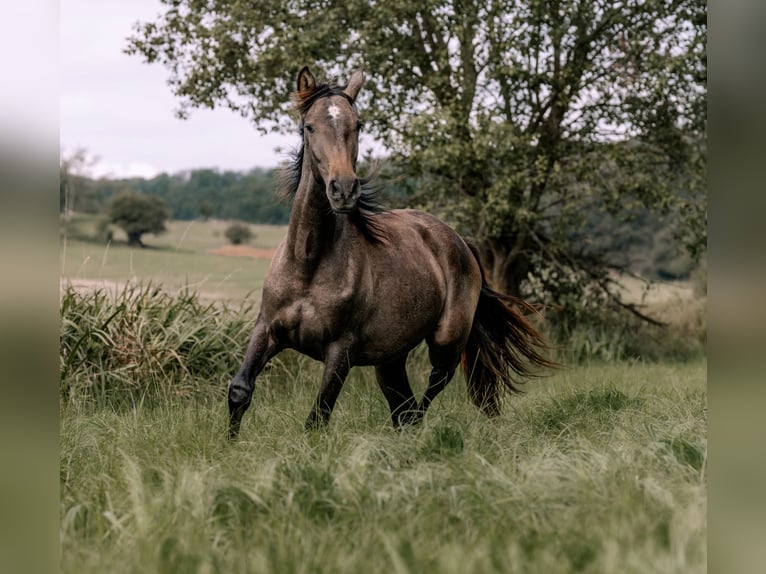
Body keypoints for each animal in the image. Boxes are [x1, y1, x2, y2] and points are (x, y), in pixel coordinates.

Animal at [227, 66, 556, 438]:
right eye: (309, 126)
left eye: (357, 124)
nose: (344, 190)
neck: (309, 264)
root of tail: (459, 241)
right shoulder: (267, 329)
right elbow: (240, 390)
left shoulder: (340, 350)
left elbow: (319, 415)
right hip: (391, 357)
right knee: (402, 403)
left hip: (446, 340)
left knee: (428, 390)